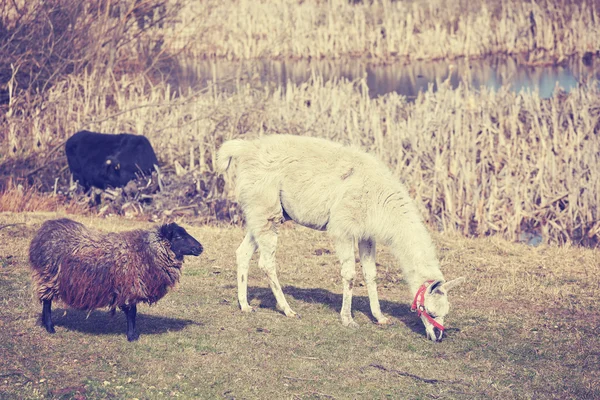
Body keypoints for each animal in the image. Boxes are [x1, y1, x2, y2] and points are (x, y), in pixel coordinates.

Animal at [29, 219, 204, 340]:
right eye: (179, 236)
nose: (200, 247)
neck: (147, 251)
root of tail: (46, 229)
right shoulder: (131, 287)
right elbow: (132, 312)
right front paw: (132, 336)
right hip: (49, 276)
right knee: (47, 301)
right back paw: (50, 327)